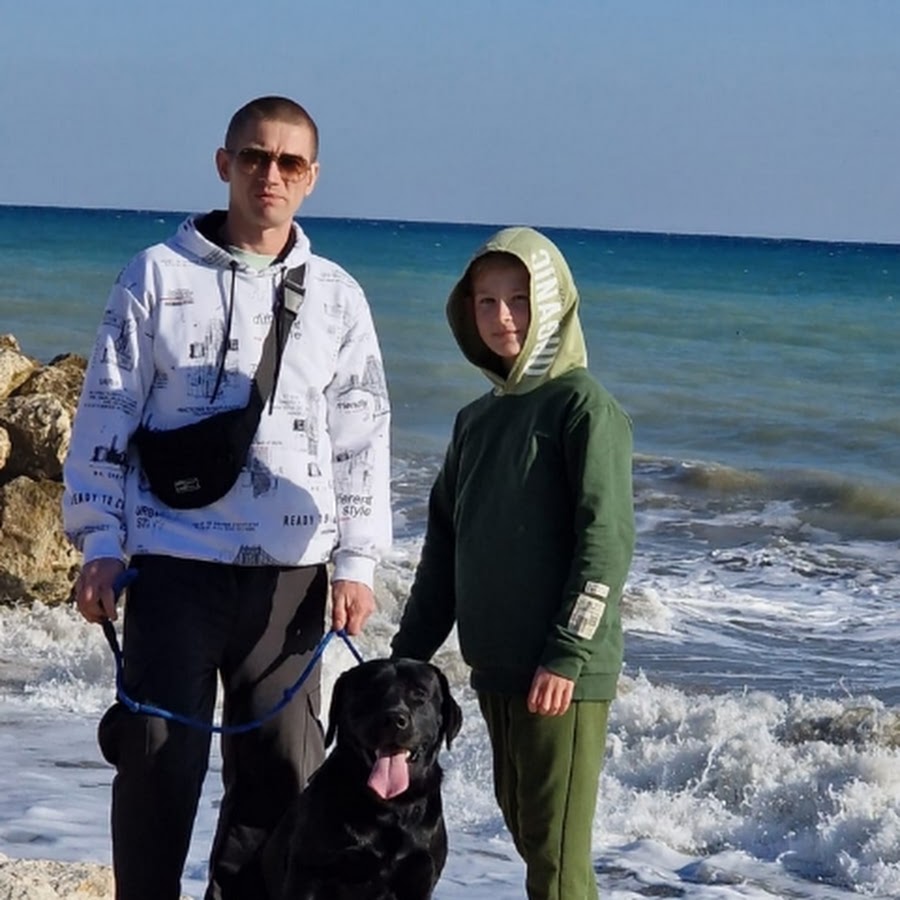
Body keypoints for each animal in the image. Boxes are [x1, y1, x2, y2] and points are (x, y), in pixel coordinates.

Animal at [264, 657, 463, 900]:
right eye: (370, 690)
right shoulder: (309, 872)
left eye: (420, 693)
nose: (394, 719)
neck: (389, 807)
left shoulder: (421, 874)